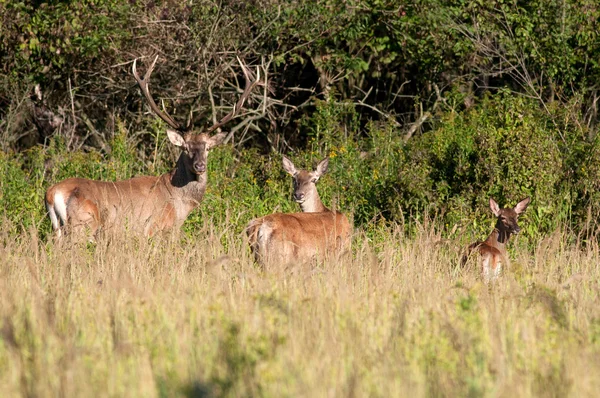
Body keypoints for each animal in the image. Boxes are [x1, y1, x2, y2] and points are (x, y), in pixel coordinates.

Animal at [44, 55, 260, 236]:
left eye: (207, 148)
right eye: (185, 148)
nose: (200, 166)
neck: (179, 204)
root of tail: (52, 193)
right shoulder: (156, 229)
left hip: (58, 229)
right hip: (82, 224)